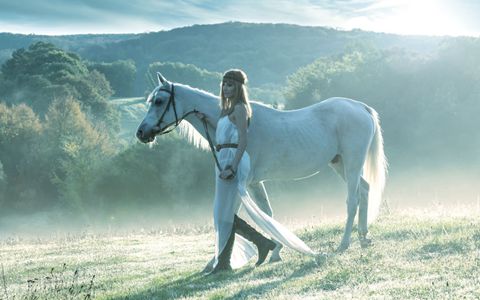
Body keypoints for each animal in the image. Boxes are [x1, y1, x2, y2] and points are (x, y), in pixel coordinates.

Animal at [135, 72, 386, 258]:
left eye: (158, 101)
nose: (141, 133)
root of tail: (359, 106)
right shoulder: (254, 183)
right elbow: (266, 212)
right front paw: (276, 251)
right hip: (340, 164)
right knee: (364, 190)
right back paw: (364, 237)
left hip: (352, 163)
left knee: (352, 200)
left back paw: (345, 243)